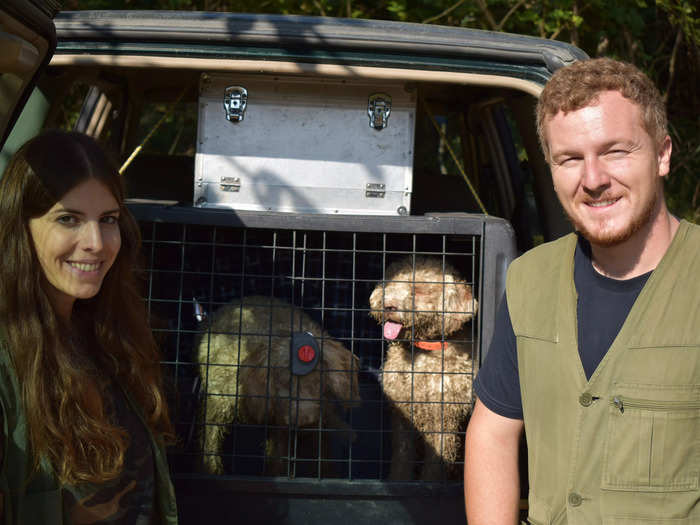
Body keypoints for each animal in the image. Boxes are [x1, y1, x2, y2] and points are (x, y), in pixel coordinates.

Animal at [370, 256, 478, 482]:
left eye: (419, 289)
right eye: (392, 282)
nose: (388, 305)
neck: (421, 354)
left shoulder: (444, 419)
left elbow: (436, 462)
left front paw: (430, 484)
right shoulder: (402, 418)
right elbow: (402, 456)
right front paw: (399, 481)